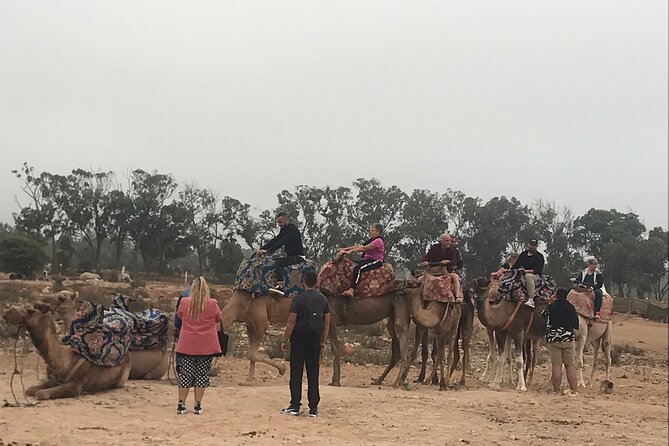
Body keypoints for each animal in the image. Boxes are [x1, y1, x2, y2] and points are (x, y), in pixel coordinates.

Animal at [1, 304, 130, 398]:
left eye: (29, 310)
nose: (6, 314)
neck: (64, 360)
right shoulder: (55, 380)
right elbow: (30, 390)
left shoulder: (76, 385)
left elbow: (42, 394)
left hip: (121, 379)